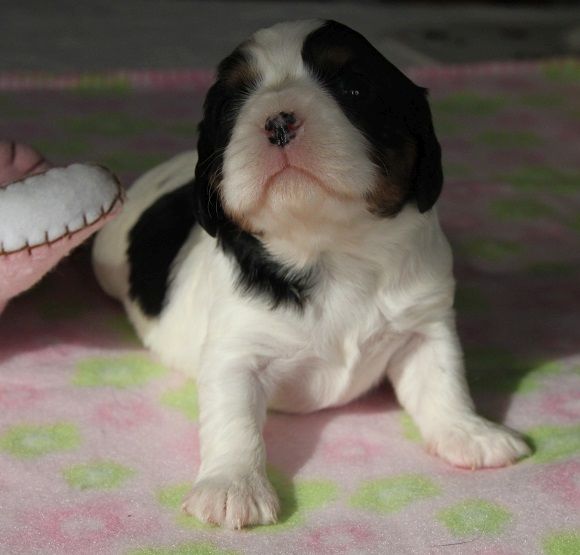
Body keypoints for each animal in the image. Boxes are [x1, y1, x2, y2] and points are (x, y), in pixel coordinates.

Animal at [92, 19, 530, 529]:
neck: (331, 248)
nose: (279, 120)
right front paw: (231, 487)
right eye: (230, 106)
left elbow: (443, 380)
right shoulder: (236, 349)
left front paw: (472, 433)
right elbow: (234, 419)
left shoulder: (425, 323)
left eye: (354, 87)